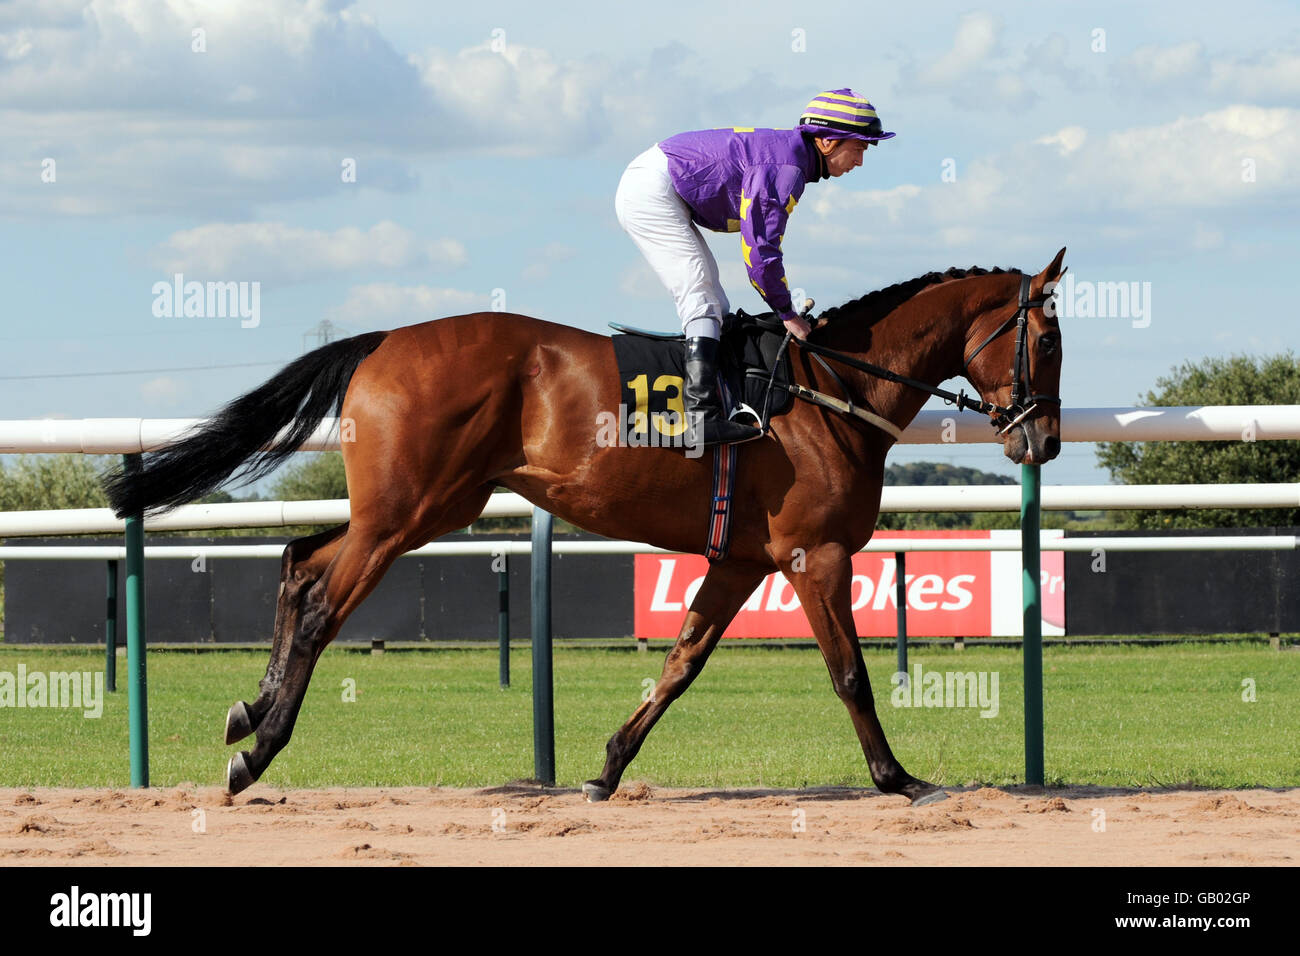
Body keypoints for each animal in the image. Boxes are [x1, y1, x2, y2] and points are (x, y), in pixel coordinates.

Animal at [104, 248, 1066, 805]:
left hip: (420, 509)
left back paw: (248, 713)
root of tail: (380, 341)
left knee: (300, 558)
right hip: (406, 513)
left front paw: (605, 767)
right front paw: (898, 778)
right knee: (318, 606)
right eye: (1050, 342)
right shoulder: (813, 555)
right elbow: (852, 676)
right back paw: (260, 748)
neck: (832, 388)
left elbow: (680, 664)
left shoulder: (743, 560)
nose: (1045, 439)